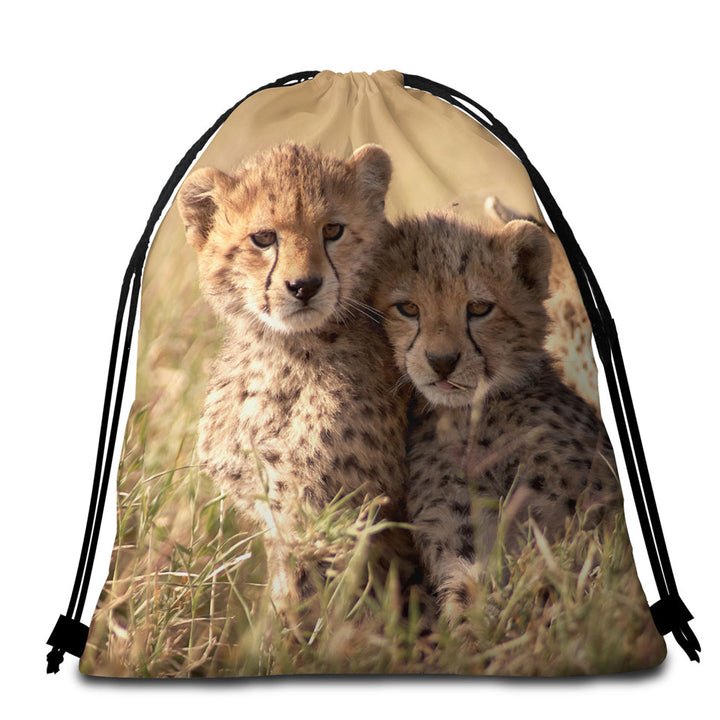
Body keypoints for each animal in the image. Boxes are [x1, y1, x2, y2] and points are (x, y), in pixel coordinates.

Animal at [176, 142, 413, 627]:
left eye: (333, 230)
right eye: (264, 238)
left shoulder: (327, 518)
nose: (304, 286)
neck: (281, 353)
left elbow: (302, 607)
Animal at [373, 212, 622, 622]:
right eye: (407, 309)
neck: (472, 418)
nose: (442, 361)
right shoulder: (461, 540)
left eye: (478, 308)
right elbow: (473, 602)